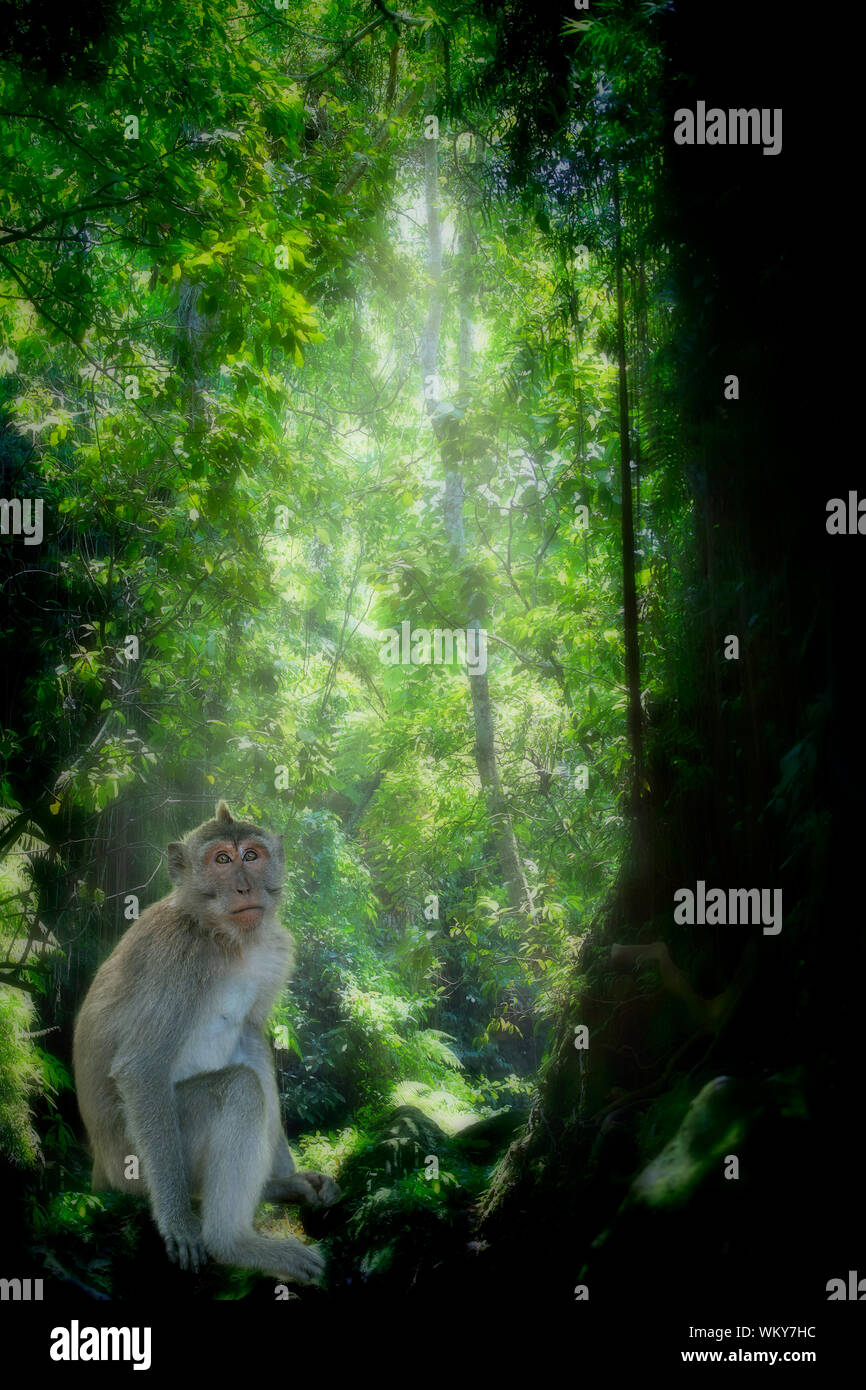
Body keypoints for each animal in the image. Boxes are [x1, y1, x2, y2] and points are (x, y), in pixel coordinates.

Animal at [73, 800, 339, 1284]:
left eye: (251, 855)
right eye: (221, 860)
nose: (243, 886)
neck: (223, 938)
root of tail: (101, 1168)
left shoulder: (273, 949)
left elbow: (252, 1036)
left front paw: (288, 1177)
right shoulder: (177, 959)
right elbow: (142, 1068)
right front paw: (180, 1223)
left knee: (251, 1064)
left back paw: (273, 1187)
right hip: (134, 1163)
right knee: (239, 1089)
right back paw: (232, 1242)